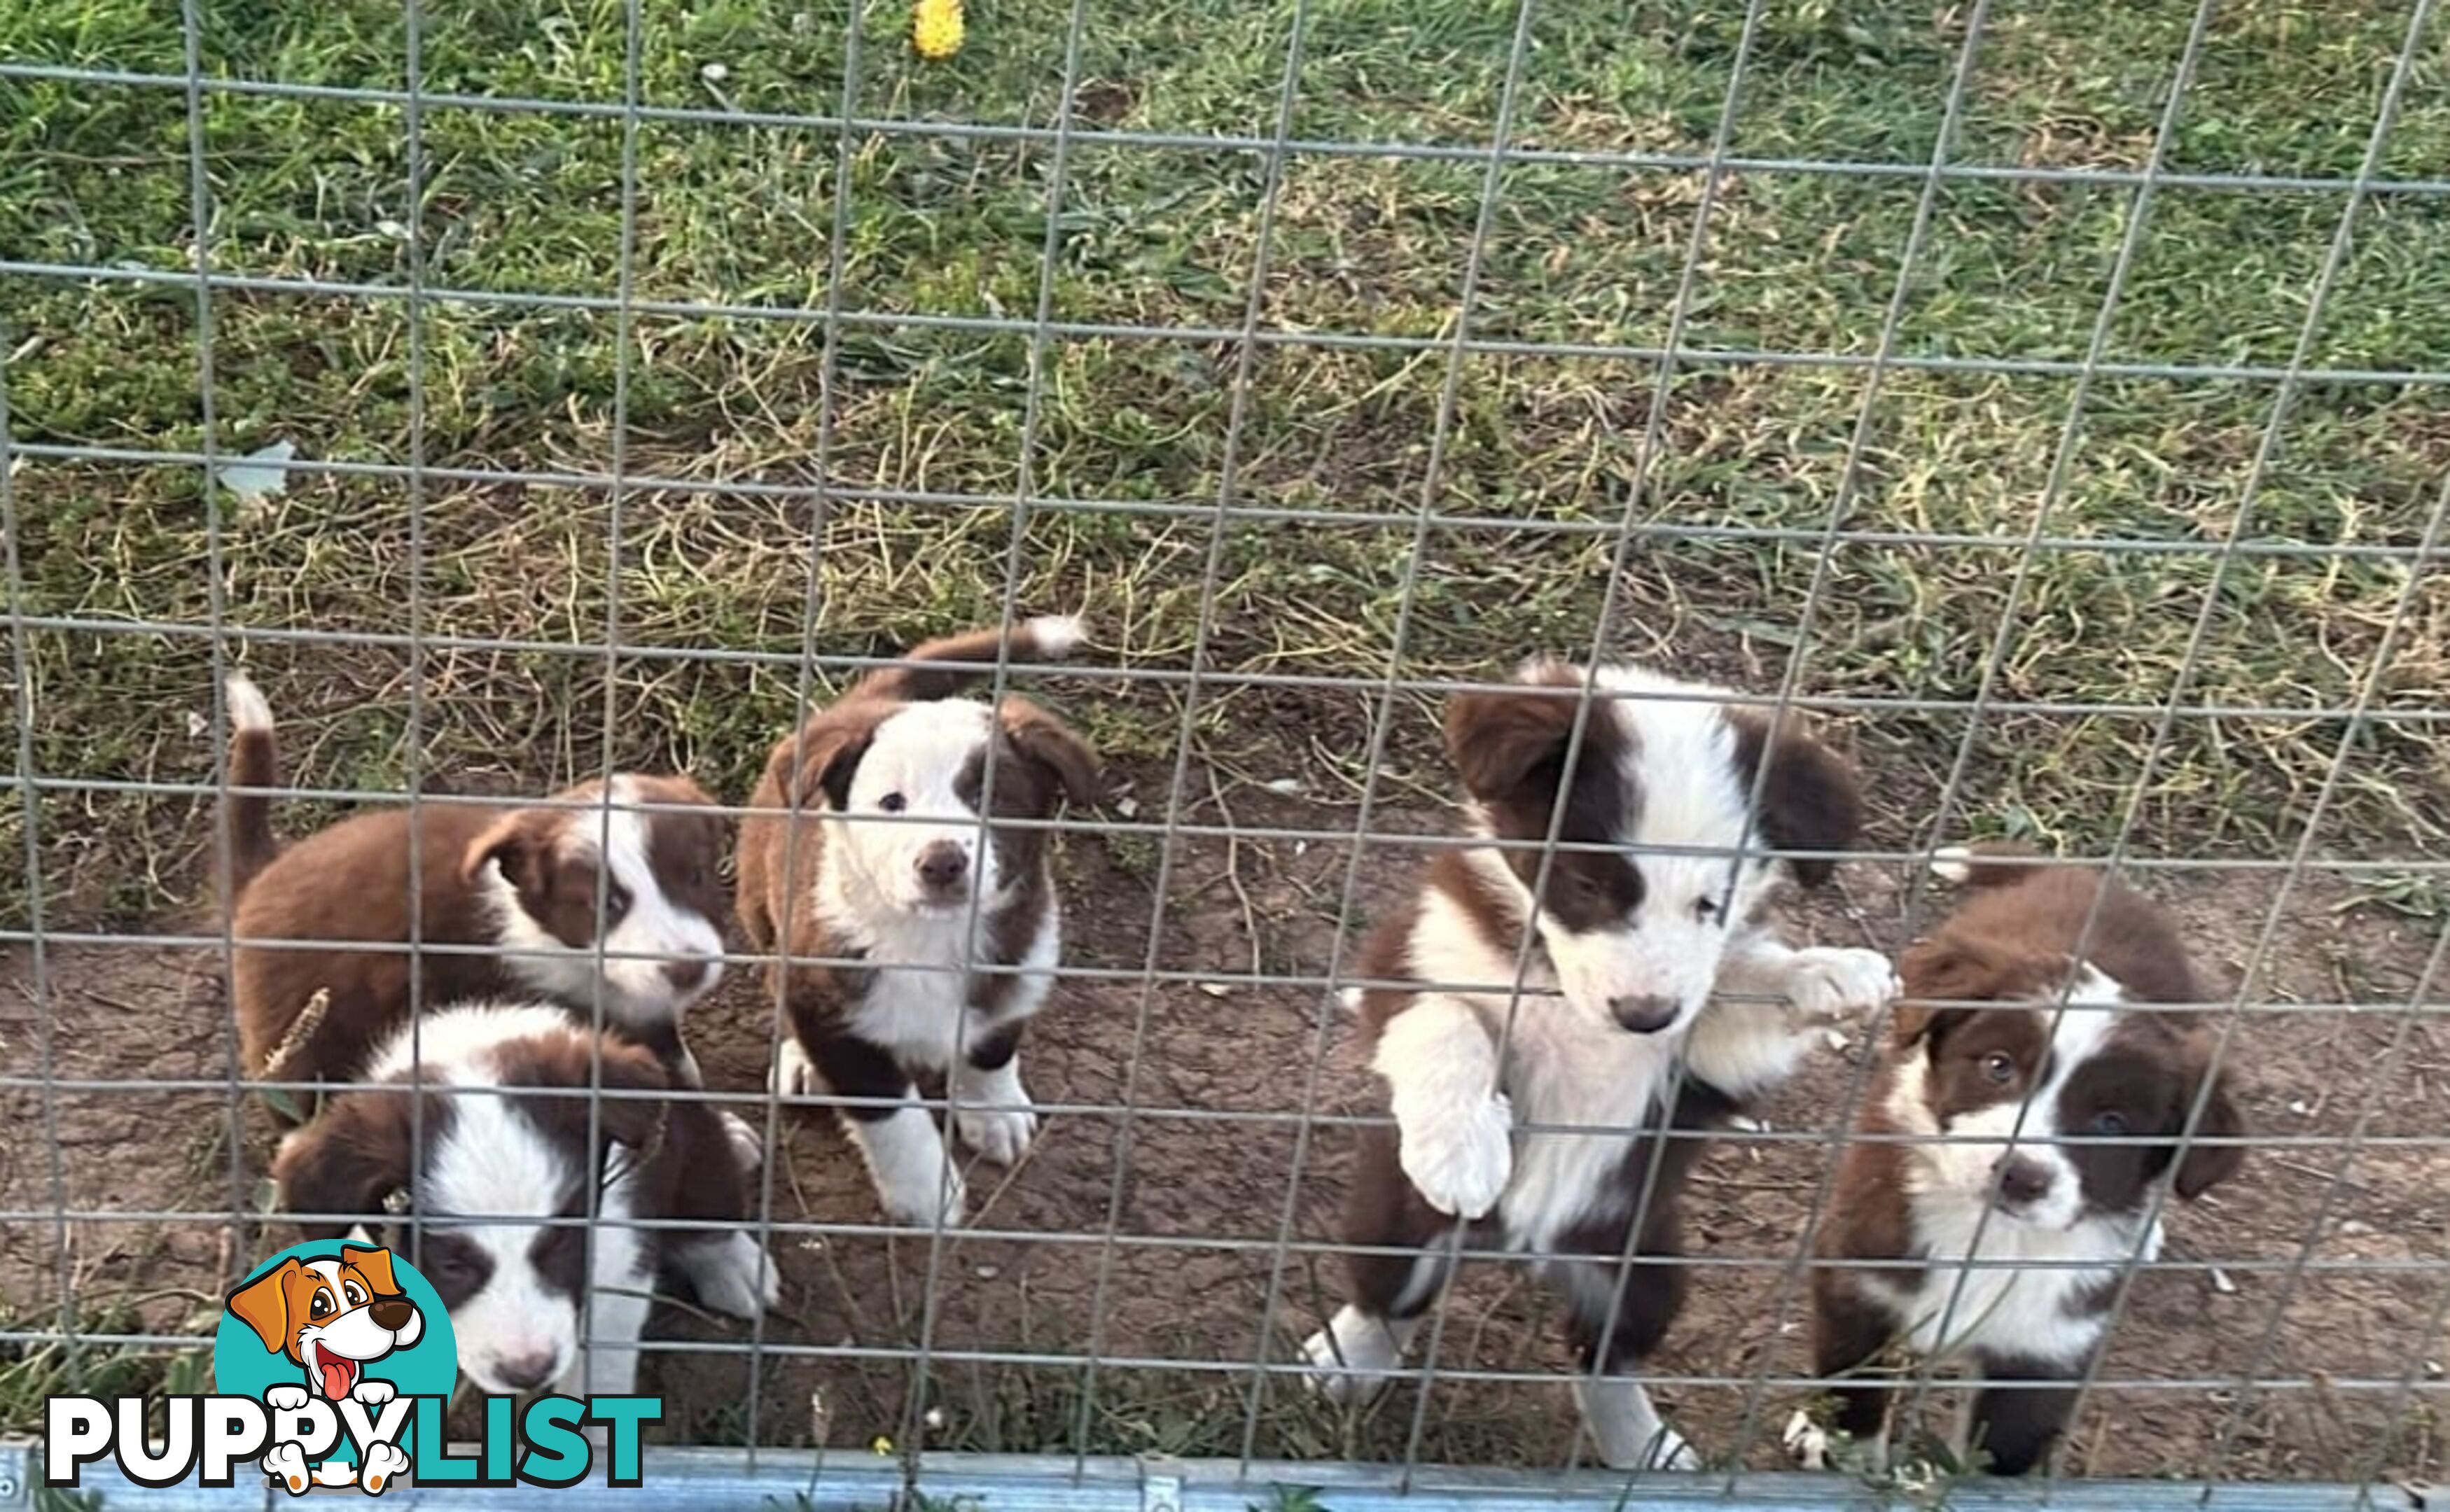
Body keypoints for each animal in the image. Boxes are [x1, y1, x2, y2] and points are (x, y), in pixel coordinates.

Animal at [267, 995, 769, 1401]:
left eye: (562, 1242)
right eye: (451, 1264)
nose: (528, 1373)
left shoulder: (618, 1255)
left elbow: (597, 1371)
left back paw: (735, 1264)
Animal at [730, 610, 1097, 1225]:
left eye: (992, 799)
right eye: (891, 803)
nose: (941, 862)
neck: (929, 937)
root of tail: (870, 701)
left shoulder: (1017, 963)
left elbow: (993, 1045)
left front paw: (994, 1112)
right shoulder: (831, 1008)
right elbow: (892, 1117)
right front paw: (928, 1193)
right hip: (761, 901)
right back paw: (801, 1063)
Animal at [1303, 657, 1891, 1470]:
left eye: (1711, 903)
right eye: (1586, 885)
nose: (1642, 1016)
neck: (1559, 987)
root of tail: (1524, 1249)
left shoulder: (1700, 1059)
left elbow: (1738, 986)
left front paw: (1824, 974)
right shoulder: (1406, 965)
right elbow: (1445, 1022)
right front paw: (1461, 1151)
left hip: (1641, 1266)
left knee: (1604, 1361)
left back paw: (1643, 1445)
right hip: (1394, 1220)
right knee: (1388, 1302)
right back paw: (1346, 1363)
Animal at [1793, 848, 2244, 1470]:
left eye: (2111, 1123)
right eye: (1998, 1066)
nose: (2019, 1176)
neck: (1990, 1238)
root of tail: (2086, 875)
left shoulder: (2046, 1349)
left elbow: (1998, 1456)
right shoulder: (1858, 1279)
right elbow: (1852, 1393)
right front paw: (1836, 1454)